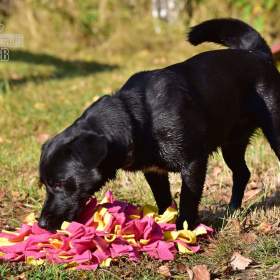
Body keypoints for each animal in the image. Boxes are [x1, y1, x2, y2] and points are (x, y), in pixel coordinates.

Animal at [37, 18, 280, 231]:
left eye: (59, 183)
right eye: (44, 184)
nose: (42, 224)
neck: (139, 119)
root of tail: (258, 54)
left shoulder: (193, 163)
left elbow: (188, 201)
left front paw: (183, 230)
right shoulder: (154, 172)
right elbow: (164, 201)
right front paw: (162, 226)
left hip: (273, 132)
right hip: (232, 144)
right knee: (242, 173)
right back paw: (232, 209)